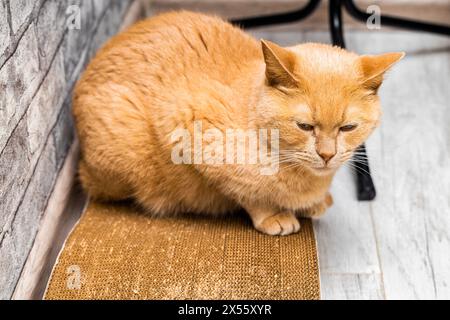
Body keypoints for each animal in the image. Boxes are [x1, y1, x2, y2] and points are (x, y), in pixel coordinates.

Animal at [74, 11, 404, 235]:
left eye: (348, 128)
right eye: (305, 126)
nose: (326, 154)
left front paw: (313, 202)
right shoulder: (191, 127)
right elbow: (247, 192)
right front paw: (273, 214)